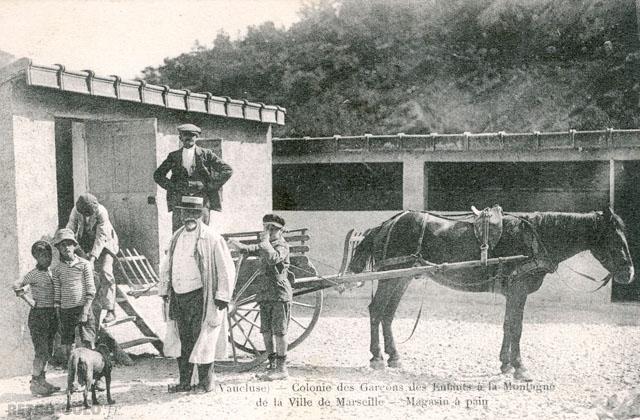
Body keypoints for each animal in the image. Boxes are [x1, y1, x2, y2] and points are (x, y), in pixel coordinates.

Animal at [350, 207, 636, 380]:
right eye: (615, 239)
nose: (629, 273)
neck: (534, 240)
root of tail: (386, 223)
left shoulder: (513, 292)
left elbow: (508, 325)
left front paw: (505, 364)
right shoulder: (519, 289)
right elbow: (517, 327)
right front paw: (520, 368)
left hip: (402, 278)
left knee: (387, 315)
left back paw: (394, 357)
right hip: (392, 276)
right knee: (376, 311)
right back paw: (377, 357)